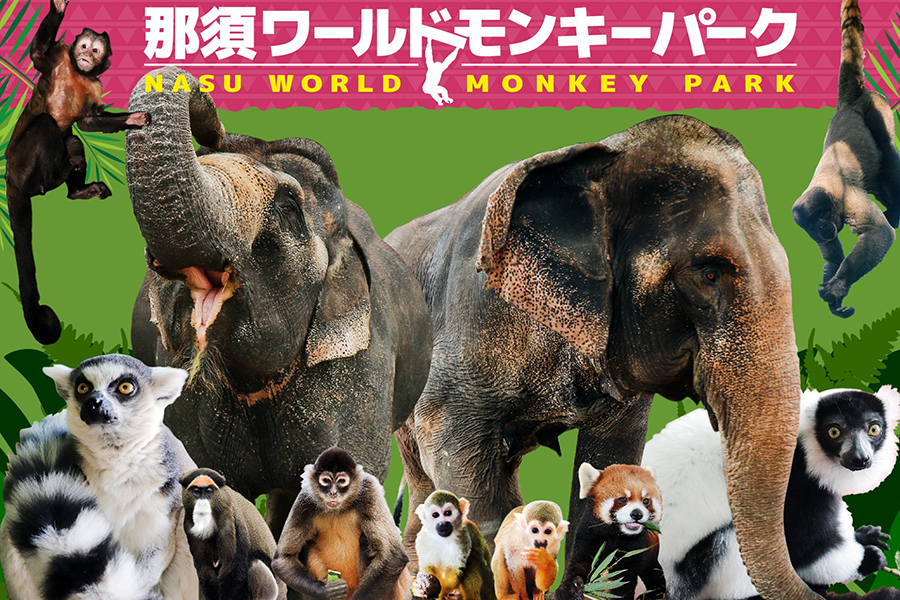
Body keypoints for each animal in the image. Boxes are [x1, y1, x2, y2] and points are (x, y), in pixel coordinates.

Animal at [4, 0, 149, 344]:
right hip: (23, 166)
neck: (78, 72)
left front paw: (134, 119)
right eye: (83, 46)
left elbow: (88, 122)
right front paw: (58, 9)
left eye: (96, 51)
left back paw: (76, 189)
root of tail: (10, 177)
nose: (86, 56)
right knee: (47, 126)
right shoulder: (57, 56)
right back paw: (50, 179)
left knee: (72, 141)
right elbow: (37, 54)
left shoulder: (95, 85)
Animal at [180, 468, 287, 600]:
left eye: (209, 491)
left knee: (255, 563)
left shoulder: (230, 521)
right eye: (196, 491)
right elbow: (205, 569)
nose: (202, 504)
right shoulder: (188, 524)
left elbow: (232, 567)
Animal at [271, 447, 412, 600]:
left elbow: (394, 556)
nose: (333, 492)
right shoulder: (305, 497)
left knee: (365, 540)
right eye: (326, 480)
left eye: (342, 481)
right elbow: (283, 559)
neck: (338, 509)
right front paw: (325, 591)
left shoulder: (369, 489)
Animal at [555, 464, 665, 600]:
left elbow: (624, 577)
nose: (637, 514)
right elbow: (579, 562)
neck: (616, 534)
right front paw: (569, 588)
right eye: (622, 499)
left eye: (646, 501)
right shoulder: (588, 535)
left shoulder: (636, 548)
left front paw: (618, 595)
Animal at [792, 0, 900, 318]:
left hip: (877, 106)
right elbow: (831, 254)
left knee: (887, 150)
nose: (822, 228)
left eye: (822, 216)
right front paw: (835, 297)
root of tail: (846, 101)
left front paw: (838, 287)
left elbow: (879, 234)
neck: (825, 192)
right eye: (812, 225)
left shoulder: (846, 197)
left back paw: (897, 210)